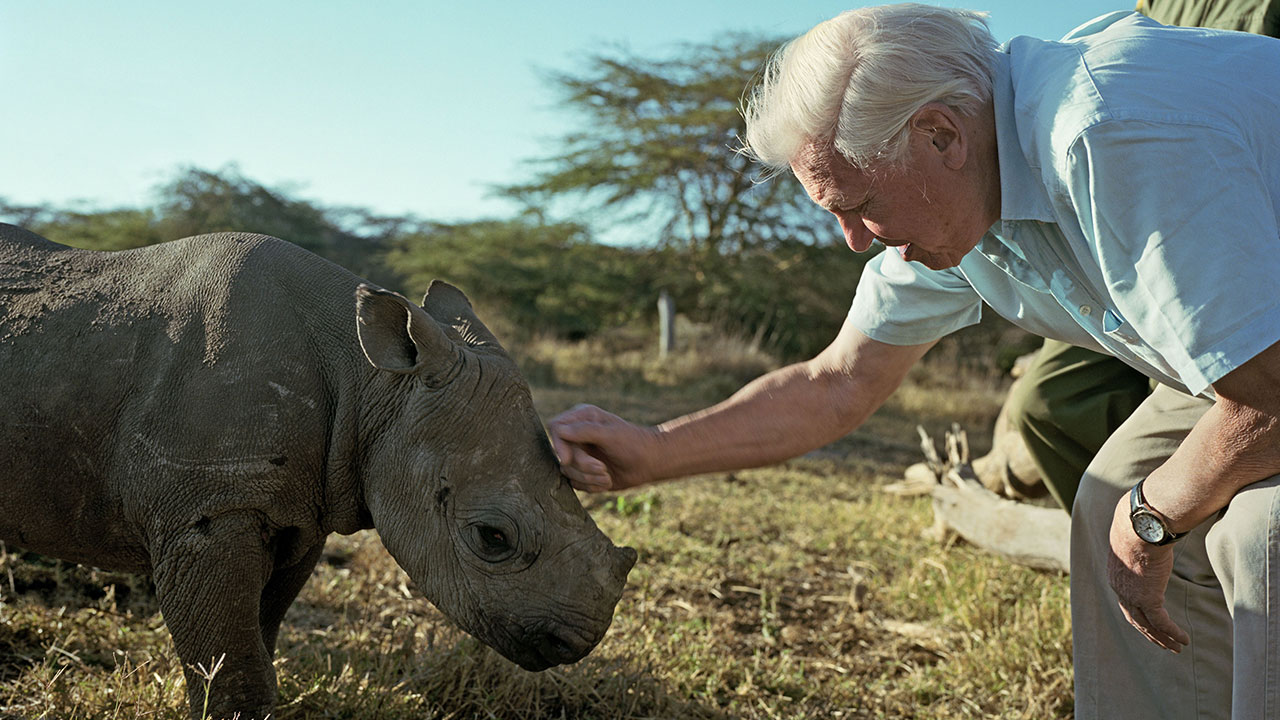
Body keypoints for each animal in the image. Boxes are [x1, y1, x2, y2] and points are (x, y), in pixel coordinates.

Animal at [0, 224, 637, 717]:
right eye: (493, 538)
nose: (581, 641)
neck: (373, 384)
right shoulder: (206, 514)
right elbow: (231, 664)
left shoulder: (298, 513)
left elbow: (261, 633)